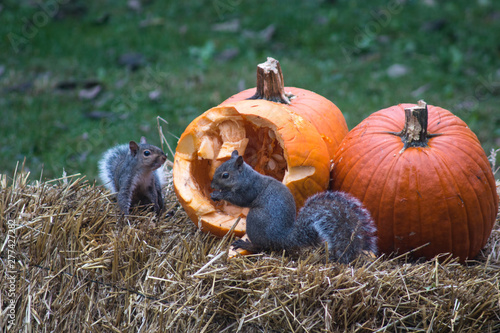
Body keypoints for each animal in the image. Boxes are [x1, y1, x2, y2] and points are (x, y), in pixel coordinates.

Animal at [209, 150, 376, 262]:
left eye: (225, 175)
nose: (212, 185)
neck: (246, 176)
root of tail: (282, 237)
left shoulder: (250, 189)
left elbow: (239, 200)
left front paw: (219, 194)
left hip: (255, 220)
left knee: (260, 247)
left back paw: (245, 244)